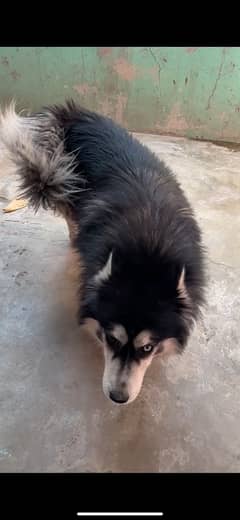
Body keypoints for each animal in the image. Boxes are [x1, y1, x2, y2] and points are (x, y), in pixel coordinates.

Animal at [0, 100, 205, 402]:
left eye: (147, 348)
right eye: (111, 338)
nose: (118, 397)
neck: (148, 252)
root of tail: (76, 114)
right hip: (62, 177)